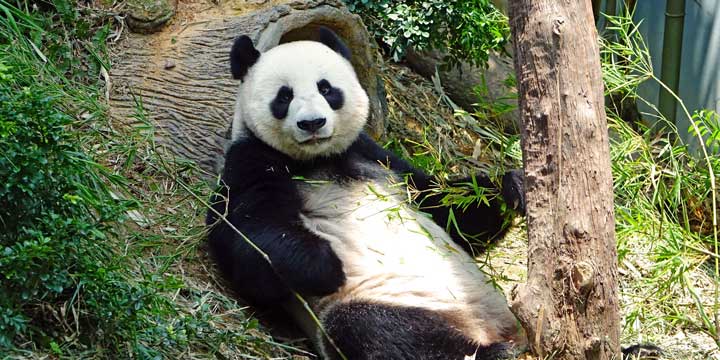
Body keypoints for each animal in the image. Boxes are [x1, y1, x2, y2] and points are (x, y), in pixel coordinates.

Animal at [205, 26, 524, 358]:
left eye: (326, 89)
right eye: (284, 96)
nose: (312, 123)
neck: (318, 159)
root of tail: (483, 327)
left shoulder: (378, 158)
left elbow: (447, 210)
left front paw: (512, 187)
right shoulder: (250, 159)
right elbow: (245, 239)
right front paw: (325, 266)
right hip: (393, 299)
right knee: (377, 329)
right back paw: (492, 352)